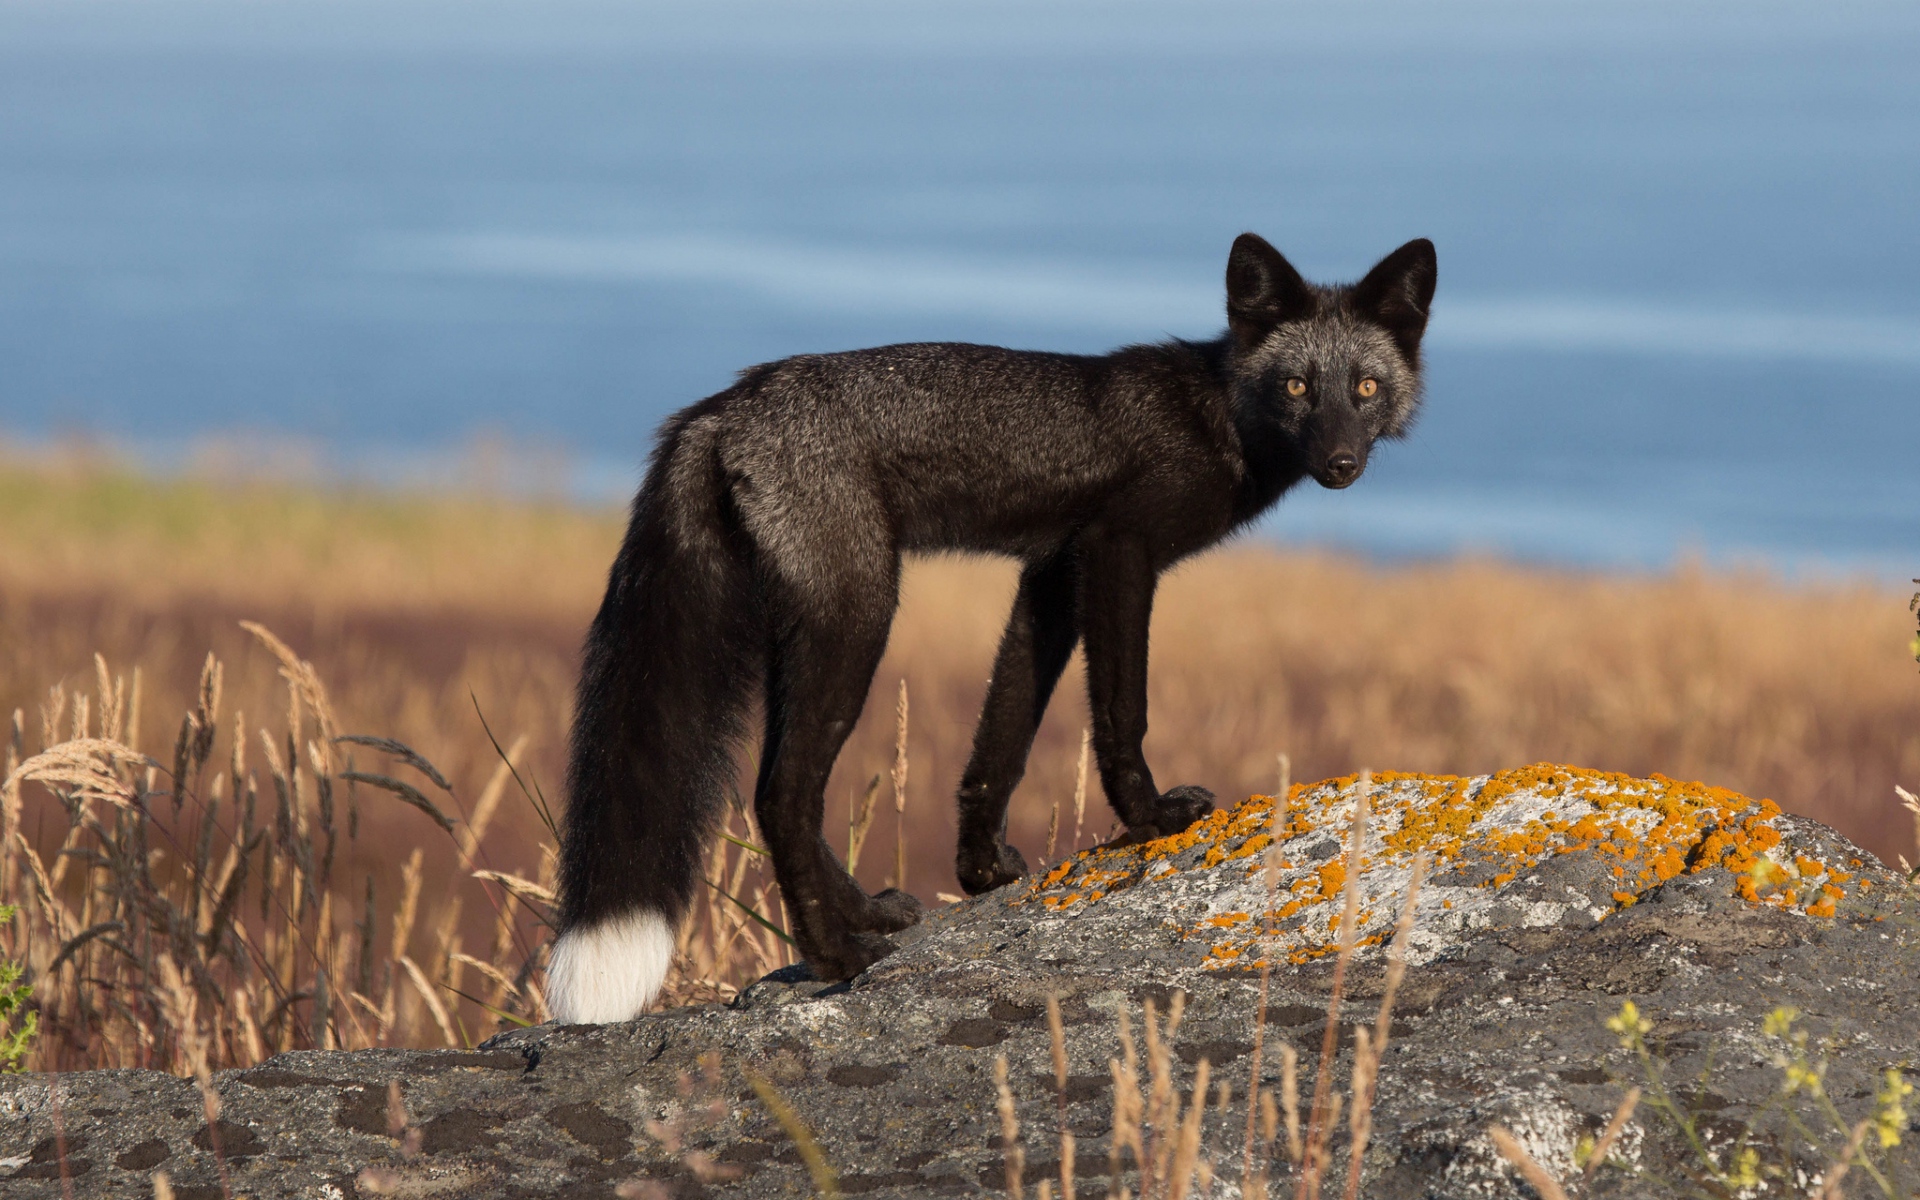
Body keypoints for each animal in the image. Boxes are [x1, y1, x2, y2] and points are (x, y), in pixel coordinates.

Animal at [548, 233, 1437, 1023]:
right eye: (1296, 388)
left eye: (1364, 389)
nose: (1341, 465)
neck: (1215, 416)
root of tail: (721, 406)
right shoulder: (1118, 550)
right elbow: (1121, 711)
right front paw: (1150, 818)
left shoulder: (1050, 574)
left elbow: (1002, 735)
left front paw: (979, 871)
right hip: (857, 617)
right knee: (781, 795)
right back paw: (838, 957)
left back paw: (869, 915)